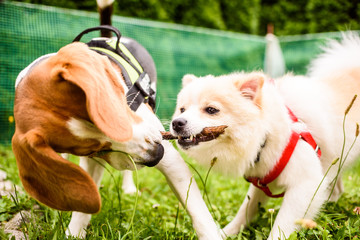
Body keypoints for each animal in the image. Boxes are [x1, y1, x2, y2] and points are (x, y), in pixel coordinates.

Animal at [11, 0, 222, 238]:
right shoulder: (92, 160)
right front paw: (74, 232)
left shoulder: (170, 157)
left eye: (115, 109)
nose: (155, 155)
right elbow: (83, 206)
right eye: (93, 148)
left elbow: (198, 212)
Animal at [169, 32, 360, 239]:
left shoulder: (305, 183)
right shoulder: (262, 181)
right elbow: (246, 210)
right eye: (182, 109)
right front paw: (226, 232)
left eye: (211, 110)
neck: (266, 134)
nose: (177, 123)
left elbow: (281, 226)